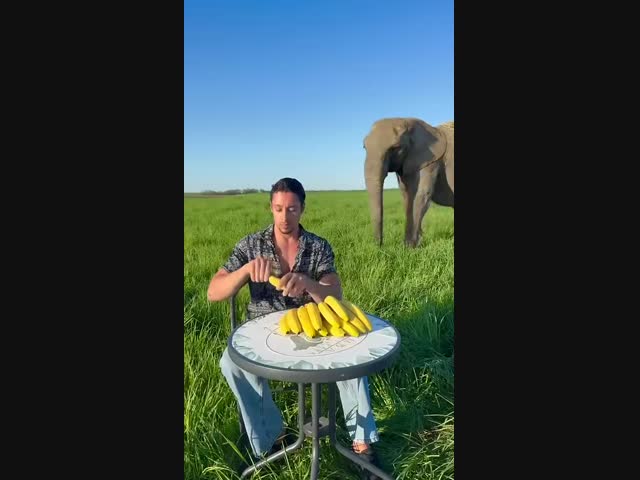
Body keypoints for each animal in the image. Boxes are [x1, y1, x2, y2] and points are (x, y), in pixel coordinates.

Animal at [363, 117, 454, 248]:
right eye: (364, 147)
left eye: (395, 148)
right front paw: (408, 246)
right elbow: (407, 196)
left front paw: (409, 247)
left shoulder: (431, 161)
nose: (379, 247)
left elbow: (421, 195)